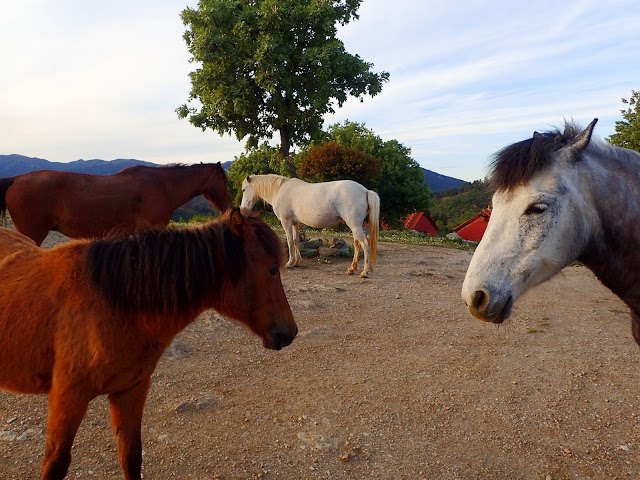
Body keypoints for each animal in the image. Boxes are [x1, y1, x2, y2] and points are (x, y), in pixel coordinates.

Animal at [0, 211, 298, 480]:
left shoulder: (131, 390)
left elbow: (131, 457)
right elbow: (55, 465)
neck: (111, 305)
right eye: (272, 269)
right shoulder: (67, 397)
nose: (291, 332)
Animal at [240, 174, 380, 278]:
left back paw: (365, 272)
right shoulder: (295, 223)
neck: (280, 190)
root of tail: (365, 191)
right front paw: (297, 262)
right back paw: (352, 269)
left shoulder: (286, 222)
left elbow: (289, 241)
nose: (242, 210)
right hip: (355, 226)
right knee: (357, 244)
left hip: (355, 226)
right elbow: (296, 240)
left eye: (244, 190)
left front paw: (290, 263)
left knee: (364, 244)